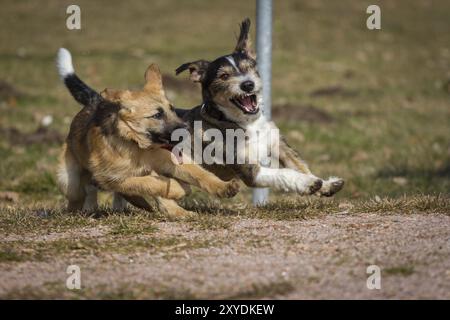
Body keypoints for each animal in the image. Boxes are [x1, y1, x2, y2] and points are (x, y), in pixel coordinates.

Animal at [55, 48, 239, 218]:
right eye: (157, 115)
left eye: (172, 109)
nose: (188, 129)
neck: (138, 146)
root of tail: (96, 102)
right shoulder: (113, 178)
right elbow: (148, 183)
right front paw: (179, 189)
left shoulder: (168, 161)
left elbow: (200, 174)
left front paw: (224, 187)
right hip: (70, 182)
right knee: (80, 195)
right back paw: (81, 211)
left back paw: (176, 211)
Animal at [174, 19, 342, 198]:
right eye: (224, 76)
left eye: (249, 68)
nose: (248, 84)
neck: (246, 123)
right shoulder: (250, 170)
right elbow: (284, 173)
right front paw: (307, 183)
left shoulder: (278, 144)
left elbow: (299, 164)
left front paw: (325, 184)